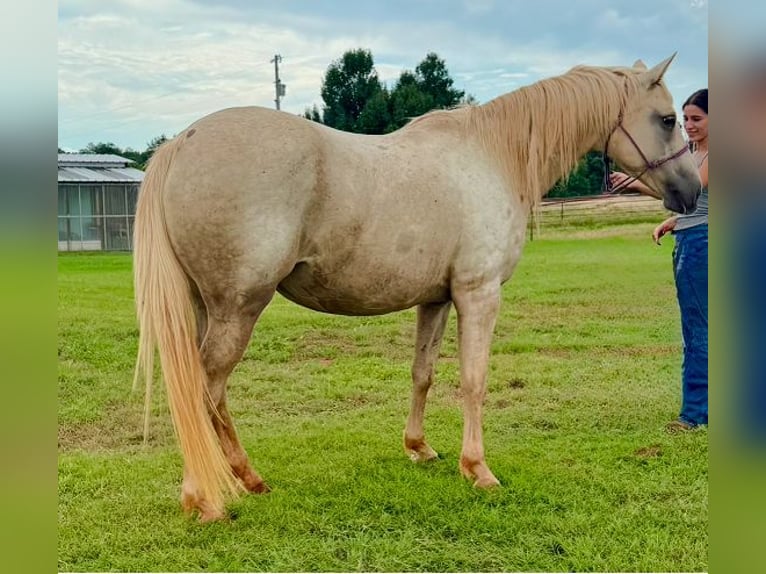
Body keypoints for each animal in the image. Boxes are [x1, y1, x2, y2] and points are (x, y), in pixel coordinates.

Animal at [133, 55, 700, 522]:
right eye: (666, 119)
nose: (692, 192)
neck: (492, 156)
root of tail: (182, 142)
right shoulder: (479, 294)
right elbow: (474, 380)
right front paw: (478, 469)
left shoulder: (436, 299)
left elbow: (423, 373)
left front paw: (419, 448)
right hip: (238, 308)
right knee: (202, 391)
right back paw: (206, 498)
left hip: (207, 309)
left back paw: (246, 481)